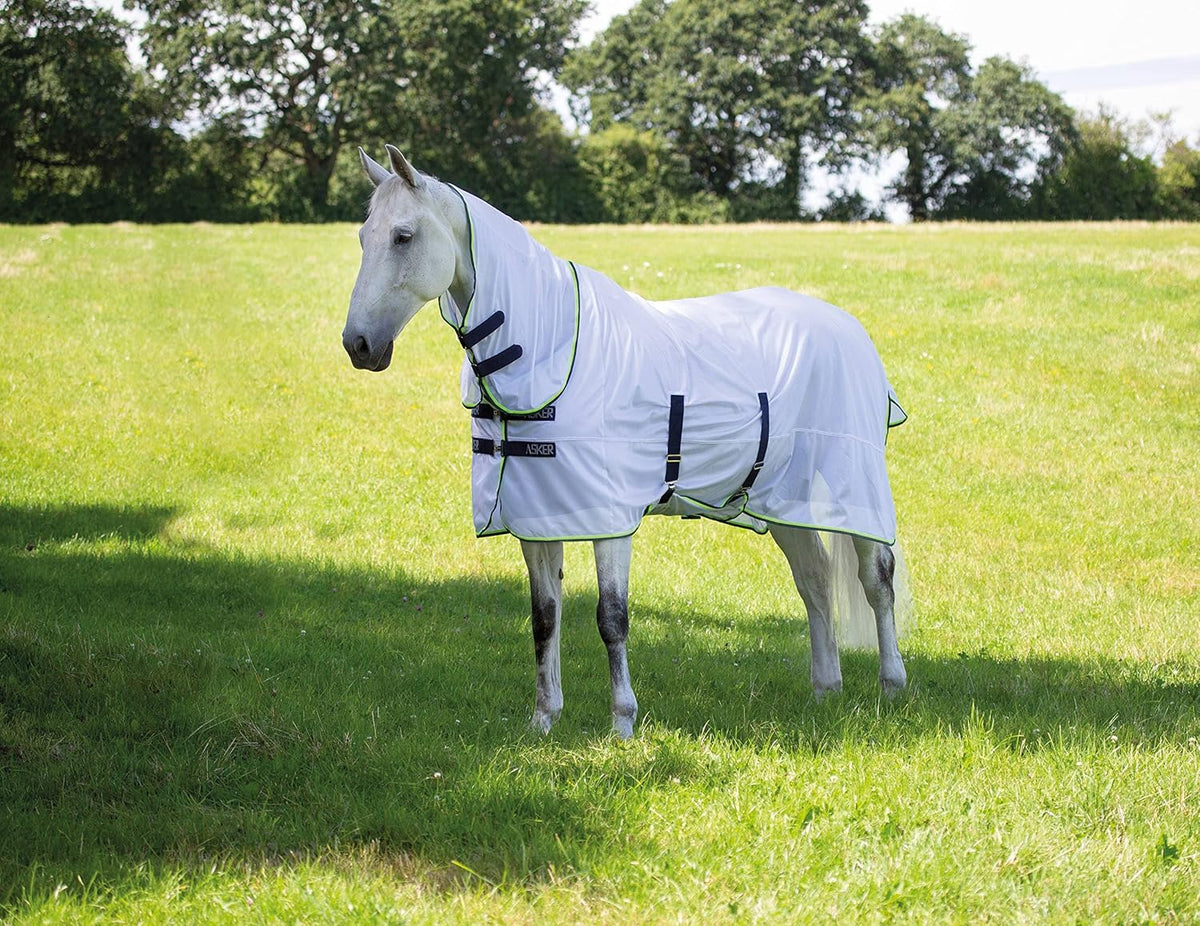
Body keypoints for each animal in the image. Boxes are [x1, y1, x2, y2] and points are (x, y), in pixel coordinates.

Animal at [342, 145, 910, 738]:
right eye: (363, 237)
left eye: (403, 236)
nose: (358, 345)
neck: (550, 345)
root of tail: (849, 327)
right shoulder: (537, 516)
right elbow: (544, 617)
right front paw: (543, 720)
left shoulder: (608, 518)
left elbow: (611, 617)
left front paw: (622, 723)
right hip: (783, 497)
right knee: (815, 580)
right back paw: (826, 690)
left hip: (854, 487)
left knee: (876, 580)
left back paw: (892, 687)